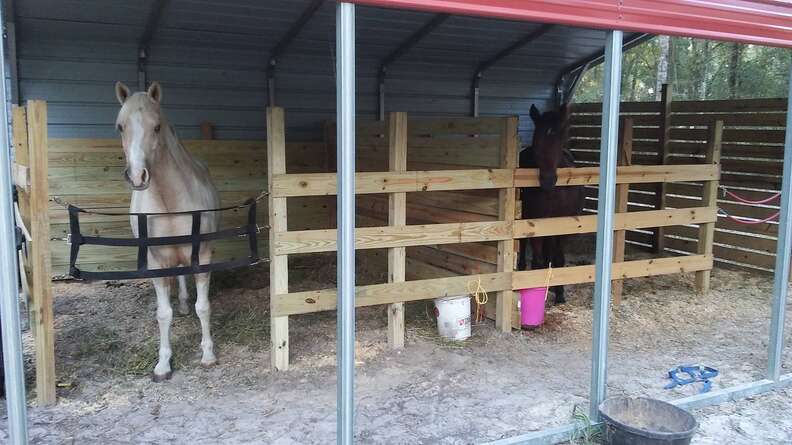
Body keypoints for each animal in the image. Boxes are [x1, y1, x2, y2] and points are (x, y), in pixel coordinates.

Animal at [114, 81, 220, 380]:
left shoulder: (202, 255)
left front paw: (208, 355)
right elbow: (163, 313)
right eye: (120, 126)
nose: (137, 176)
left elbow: (203, 307)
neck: (168, 202)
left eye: (157, 126)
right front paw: (163, 364)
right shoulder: (156, 261)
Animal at [516, 104, 584, 306]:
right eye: (537, 139)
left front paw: (560, 293)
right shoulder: (536, 223)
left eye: (560, 138)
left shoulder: (564, 225)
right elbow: (537, 261)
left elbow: (559, 259)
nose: (547, 180)